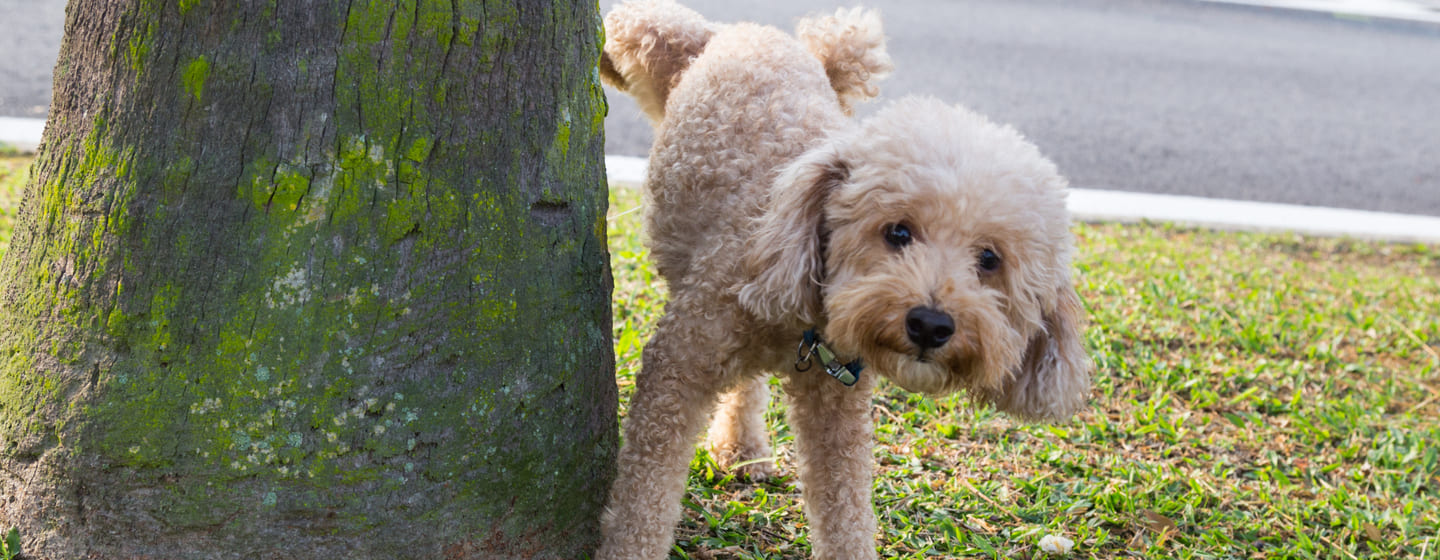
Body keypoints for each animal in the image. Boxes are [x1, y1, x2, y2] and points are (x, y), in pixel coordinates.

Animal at [596, 2, 1088, 555]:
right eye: (898, 231)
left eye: (989, 259)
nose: (931, 325)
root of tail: (747, 33)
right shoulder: (678, 368)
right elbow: (644, 496)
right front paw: (627, 549)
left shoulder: (837, 406)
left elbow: (845, 507)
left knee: (748, 387)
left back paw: (744, 448)